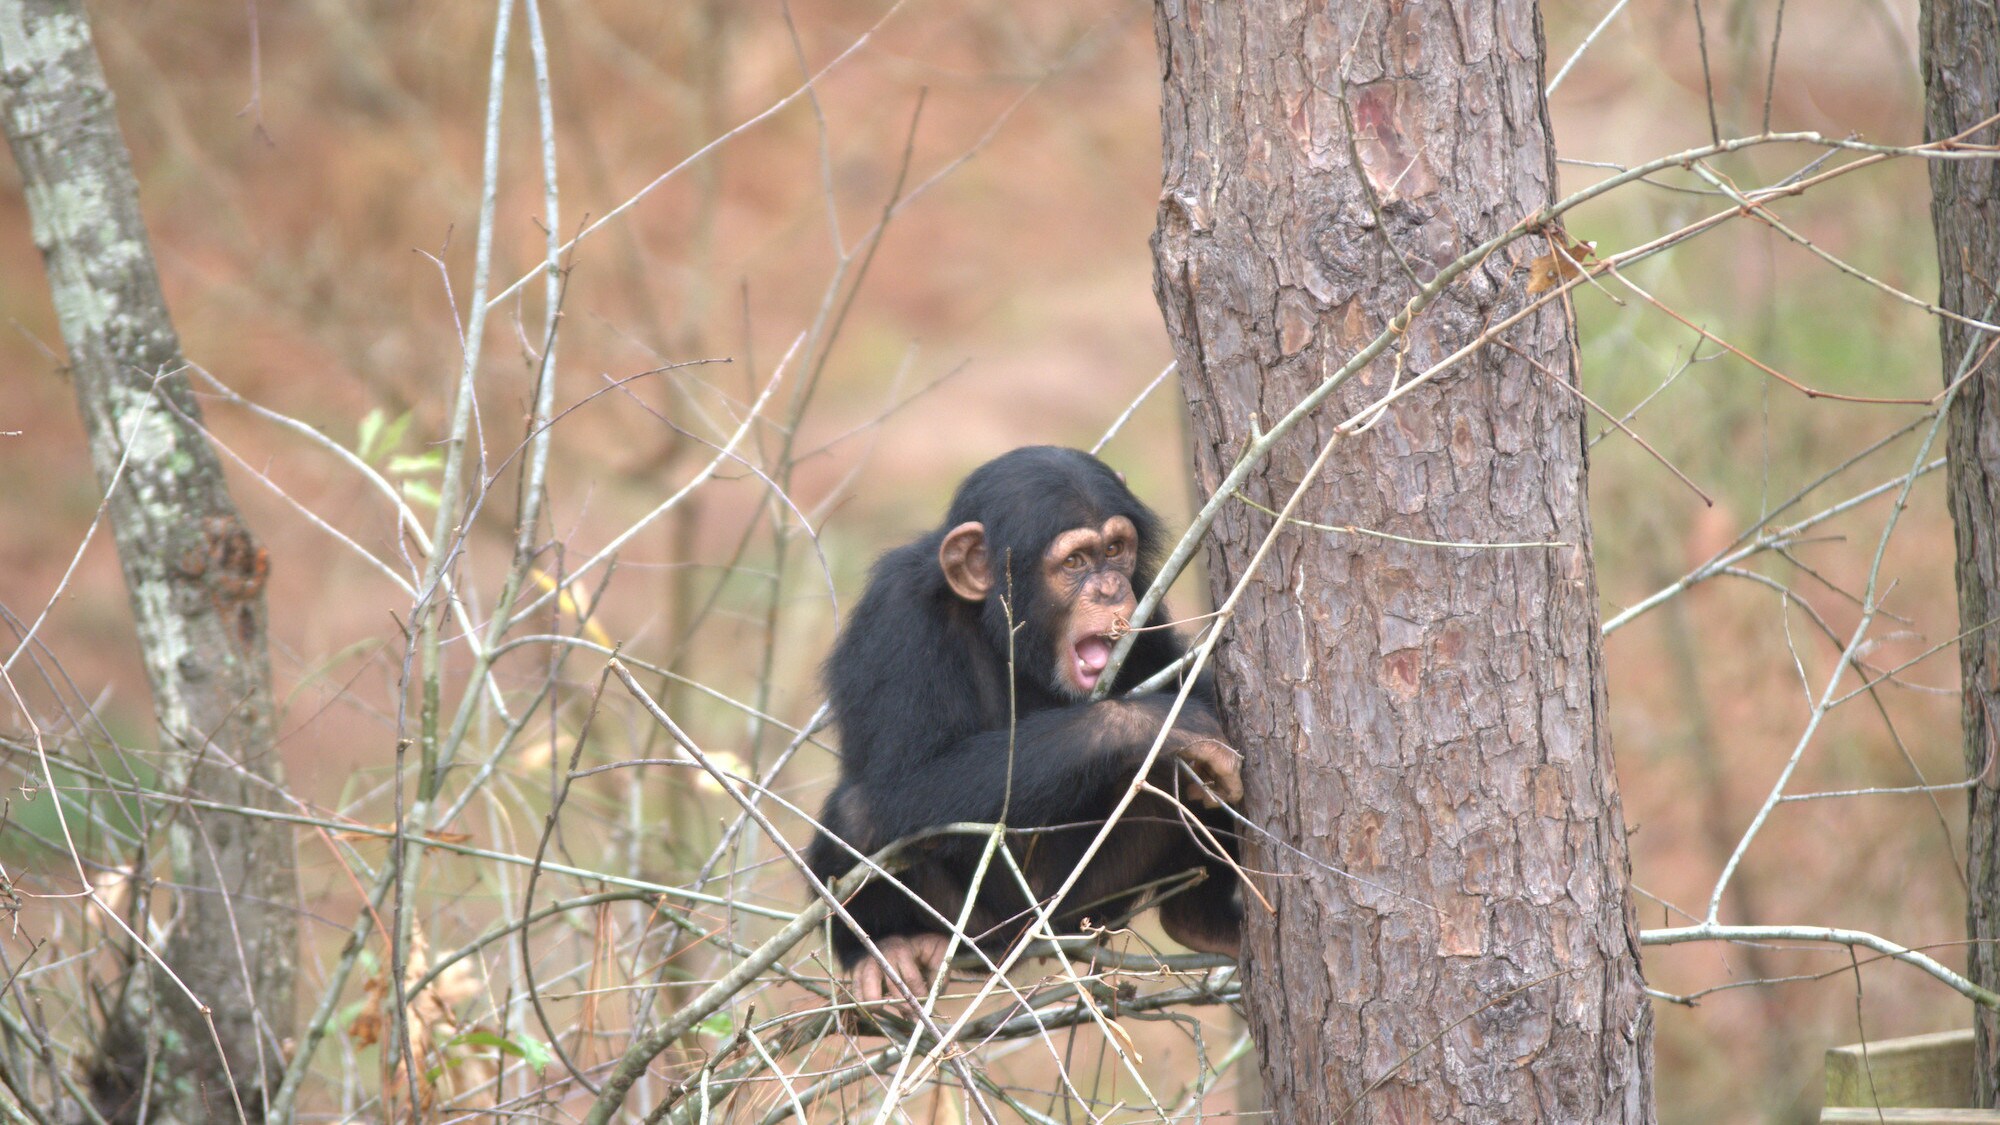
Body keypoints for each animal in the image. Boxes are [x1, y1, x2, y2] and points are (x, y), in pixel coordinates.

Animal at [804, 444, 1240, 996]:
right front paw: (1159, 723)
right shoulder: (895, 616)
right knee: (859, 812)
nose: (1109, 587)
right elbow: (906, 781)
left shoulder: (1147, 603)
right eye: (1075, 561)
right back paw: (882, 949)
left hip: (1088, 902)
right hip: (976, 923)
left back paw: (1199, 918)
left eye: (1116, 549)